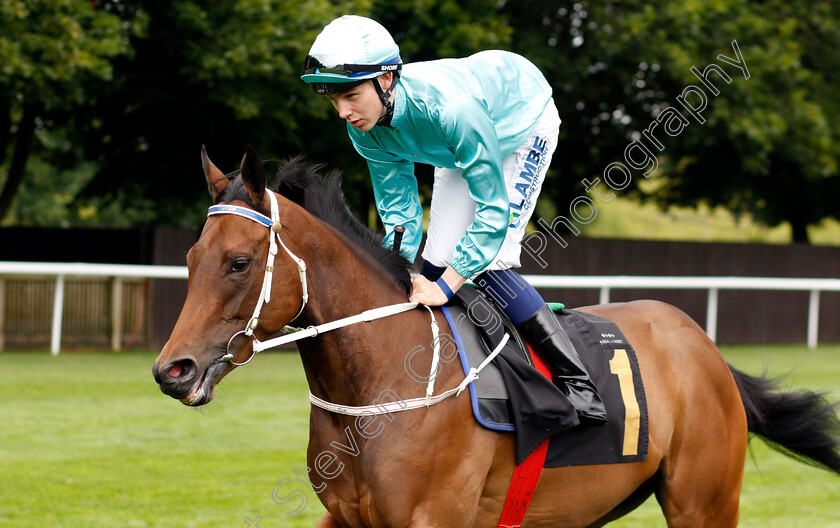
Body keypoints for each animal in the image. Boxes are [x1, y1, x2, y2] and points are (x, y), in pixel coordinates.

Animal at [153, 147, 840, 528]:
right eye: (189, 258)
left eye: (240, 262)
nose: (172, 370)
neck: (381, 384)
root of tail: (705, 347)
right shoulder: (348, 517)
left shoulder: (433, 518)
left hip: (704, 502)